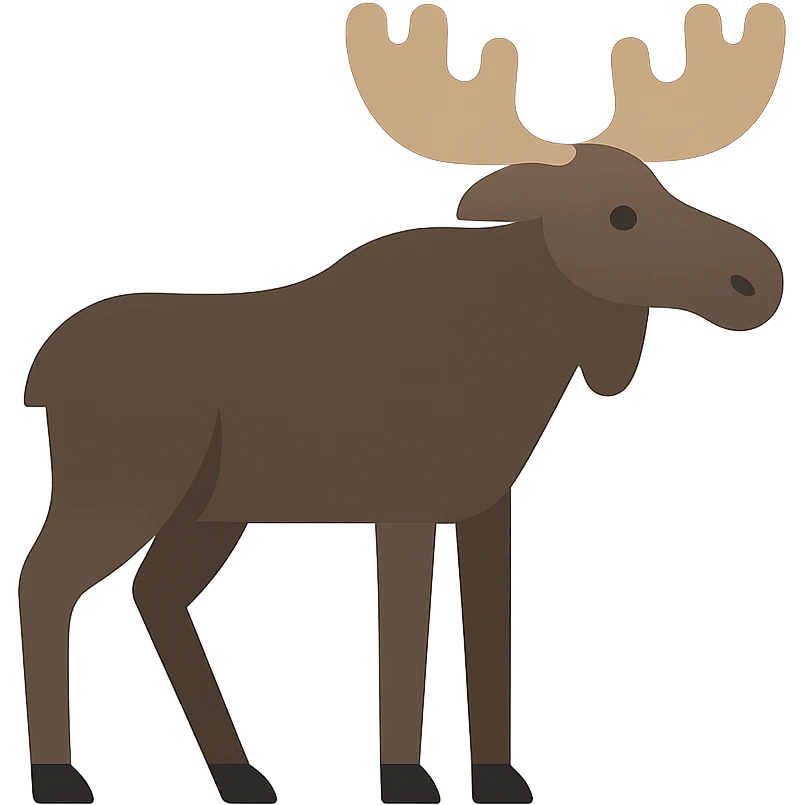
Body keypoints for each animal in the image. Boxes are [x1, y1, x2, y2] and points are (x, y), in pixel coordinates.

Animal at [19, 3, 786, 803]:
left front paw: (498, 777)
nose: (755, 279)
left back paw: (241, 773)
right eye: (621, 216)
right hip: (121, 489)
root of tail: (38, 373)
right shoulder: (404, 502)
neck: (524, 355)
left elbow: (488, 629)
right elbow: (403, 637)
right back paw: (57, 772)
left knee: (157, 593)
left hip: (211, 508)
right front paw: (404, 776)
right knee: (44, 583)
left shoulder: (485, 502)